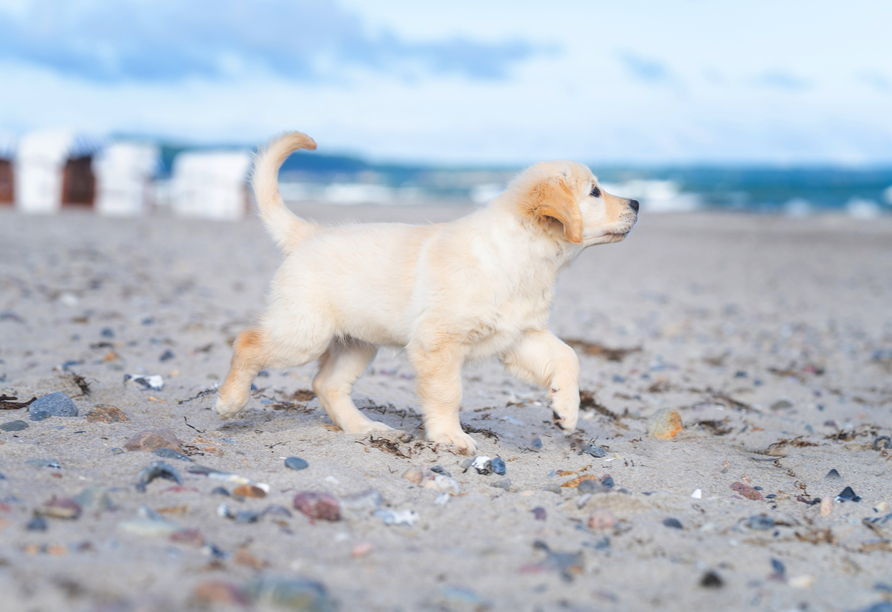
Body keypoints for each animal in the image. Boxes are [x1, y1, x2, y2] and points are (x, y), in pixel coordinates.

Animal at [215, 130, 636, 454]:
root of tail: (309, 234)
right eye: (595, 192)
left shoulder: (521, 335)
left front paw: (566, 409)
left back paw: (365, 427)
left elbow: (568, 357)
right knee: (247, 342)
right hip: (304, 332)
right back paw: (229, 401)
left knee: (326, 384)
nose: (635, 202)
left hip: (357, 341)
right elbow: (448, 392)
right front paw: (450, 435)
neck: (524, 257)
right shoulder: (438, 342)